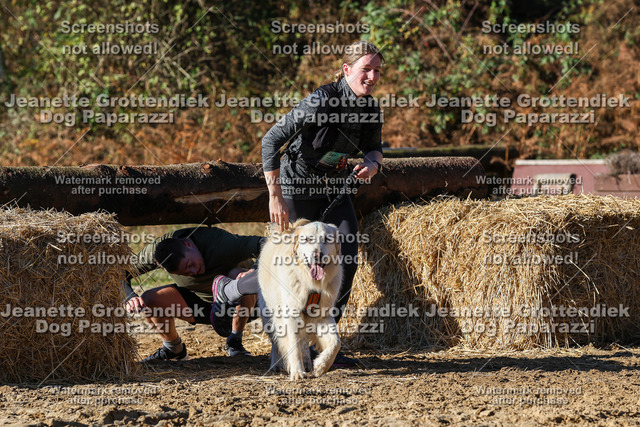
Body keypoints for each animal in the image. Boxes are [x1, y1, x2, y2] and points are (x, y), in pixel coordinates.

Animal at [258, 219, 343, 380]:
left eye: (327, 239)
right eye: (308, 239)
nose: (317, 255)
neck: (310, 284)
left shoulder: (323, 315)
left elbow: (336, 343)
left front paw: (321, 366)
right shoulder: (290, 315)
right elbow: (293, 346)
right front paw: (297, 372)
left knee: (303, 340)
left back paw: (308, 363)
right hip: (270, 315)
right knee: (277, 342)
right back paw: (276, 365)